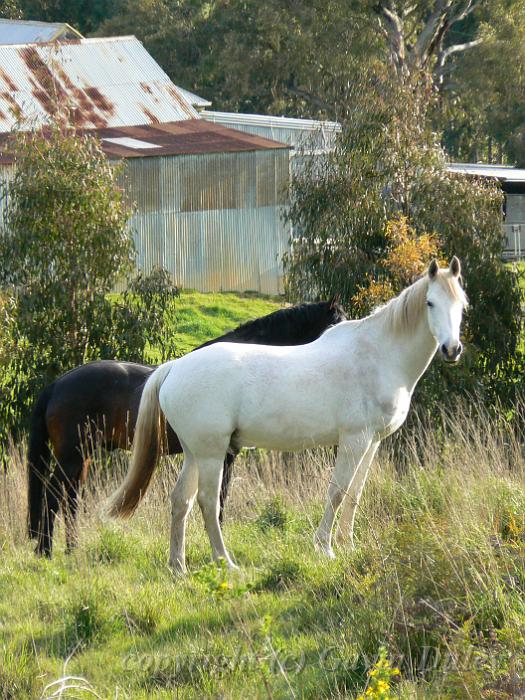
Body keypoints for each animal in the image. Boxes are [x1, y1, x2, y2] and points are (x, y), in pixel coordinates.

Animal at [28, 300, 348, 556]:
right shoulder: (222, 456)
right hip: (71, 456)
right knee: (54, 495)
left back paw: (70, 548)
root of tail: (57, 385)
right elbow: (217, 502)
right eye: (335, 323)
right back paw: (46, 551)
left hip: (83, 457)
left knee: (70, 498)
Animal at [106, 258, 466, 576]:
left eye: (460, 305)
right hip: (212, 454)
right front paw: (325, 548)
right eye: (430, 303)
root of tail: (175, 366)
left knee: (182, 500)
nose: (452, 349)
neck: (378, 354)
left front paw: (348, 545)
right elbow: (337, 492)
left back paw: (178, 567)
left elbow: (354, 493)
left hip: (195, 453)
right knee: (208, 502)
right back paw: (226, 562)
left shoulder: (372, 442)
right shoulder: (354, 439)